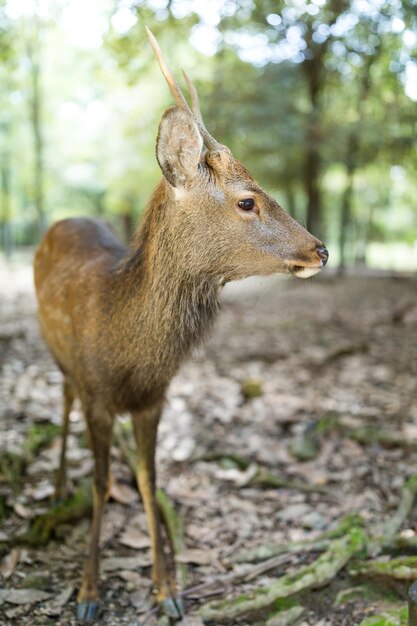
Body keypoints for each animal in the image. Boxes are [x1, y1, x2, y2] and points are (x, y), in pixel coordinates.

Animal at [34, 28, 328, 620]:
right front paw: (88, 592)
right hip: (61, 360)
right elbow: (100, 481)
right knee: (64, 399)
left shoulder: (155, 399)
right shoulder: (99, 393)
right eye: (247, 201)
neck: (129, 353)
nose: (321, 249)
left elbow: (150, 481)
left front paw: (167, 587)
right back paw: (55, 487)